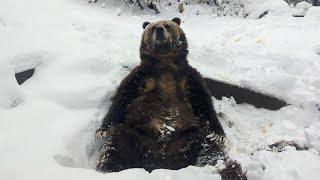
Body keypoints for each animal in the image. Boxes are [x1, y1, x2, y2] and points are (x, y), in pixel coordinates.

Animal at [94, 17, 225, 173]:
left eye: (167, 25)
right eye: (152, 27)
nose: (159, 30)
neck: (165, 63)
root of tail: (160, 159)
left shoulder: (188, 77)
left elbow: (203, 101)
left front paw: (218, 134)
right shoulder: (142, 76)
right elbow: (122, 97)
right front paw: (101, 130)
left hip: (189, 136)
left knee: (208, 147)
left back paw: (217, 167)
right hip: (135, 133)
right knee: (115, 147)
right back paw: (108, 168)